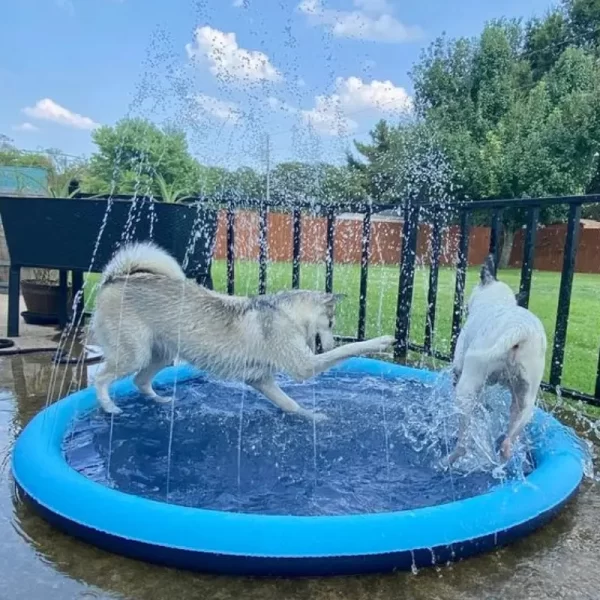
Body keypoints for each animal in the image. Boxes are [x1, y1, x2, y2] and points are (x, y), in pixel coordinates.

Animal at [91, 241, 396, 420]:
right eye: (331, 324)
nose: (329, 343)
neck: (287, 314)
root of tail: (115, 278)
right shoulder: (304, 366)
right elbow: (351, 348)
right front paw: (380, 341)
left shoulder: (261, 380)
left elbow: (289, 404)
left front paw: (312, 417)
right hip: (134, 354)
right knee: (102, 378)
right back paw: (109, 406)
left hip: (160, 354)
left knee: (140, 381)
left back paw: (161, 400)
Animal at [450, 255, 548, 462]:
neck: (496, 302)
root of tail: (521, 329)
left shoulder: (460, 369)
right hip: (525, 401)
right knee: (510, 437)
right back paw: (504, 452)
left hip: (466, 389)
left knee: (463, 443)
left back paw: (449, 459)